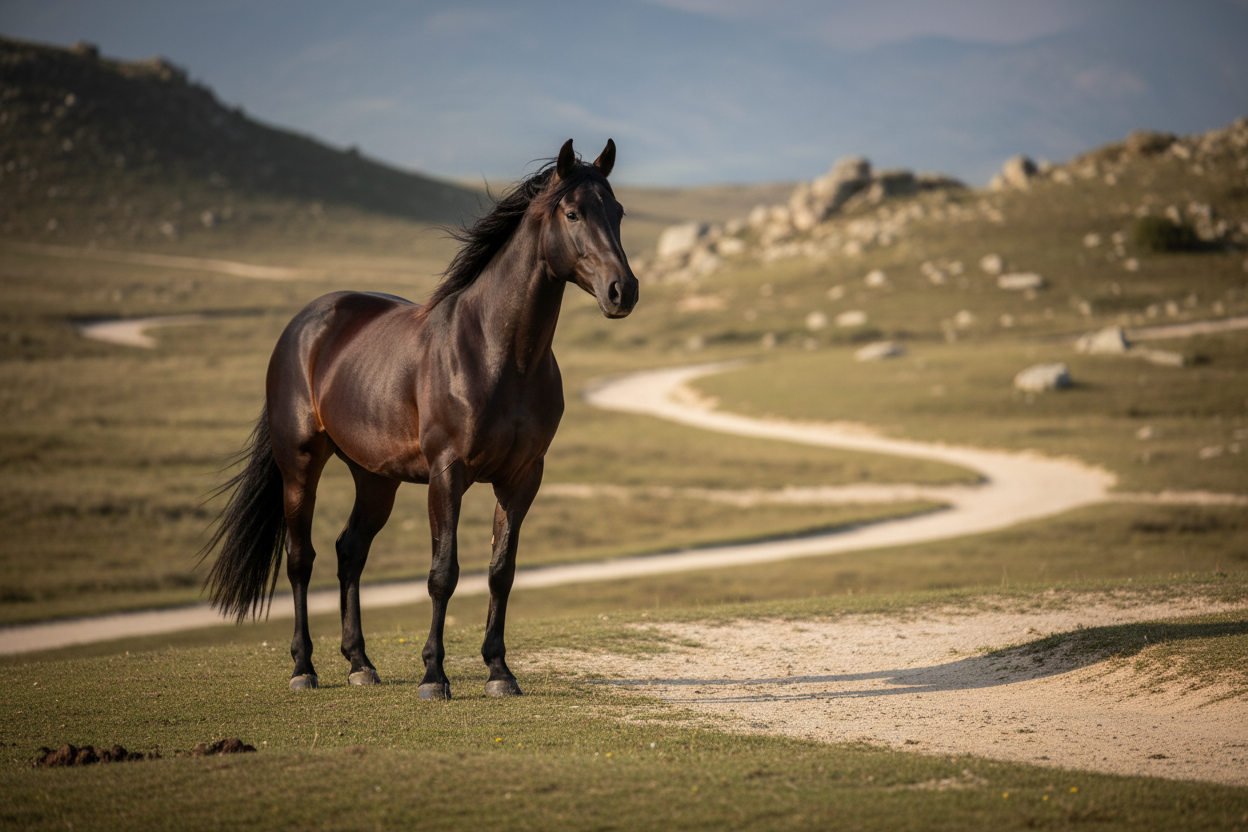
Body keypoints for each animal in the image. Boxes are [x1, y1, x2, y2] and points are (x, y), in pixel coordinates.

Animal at [201, 139, 638, 699]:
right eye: (573, 213)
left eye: (619, 212)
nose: (623, 291)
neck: (499, 353)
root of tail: (304, 324)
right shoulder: (446, 474)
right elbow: (442, 573)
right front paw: (434, 676)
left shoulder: (522, 478)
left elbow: (501, 571)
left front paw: (500, 671)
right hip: (299, 464)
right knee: (302, 560)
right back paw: (304, 668)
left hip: (375, 479)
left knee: (349, 552)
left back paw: (360, 663)